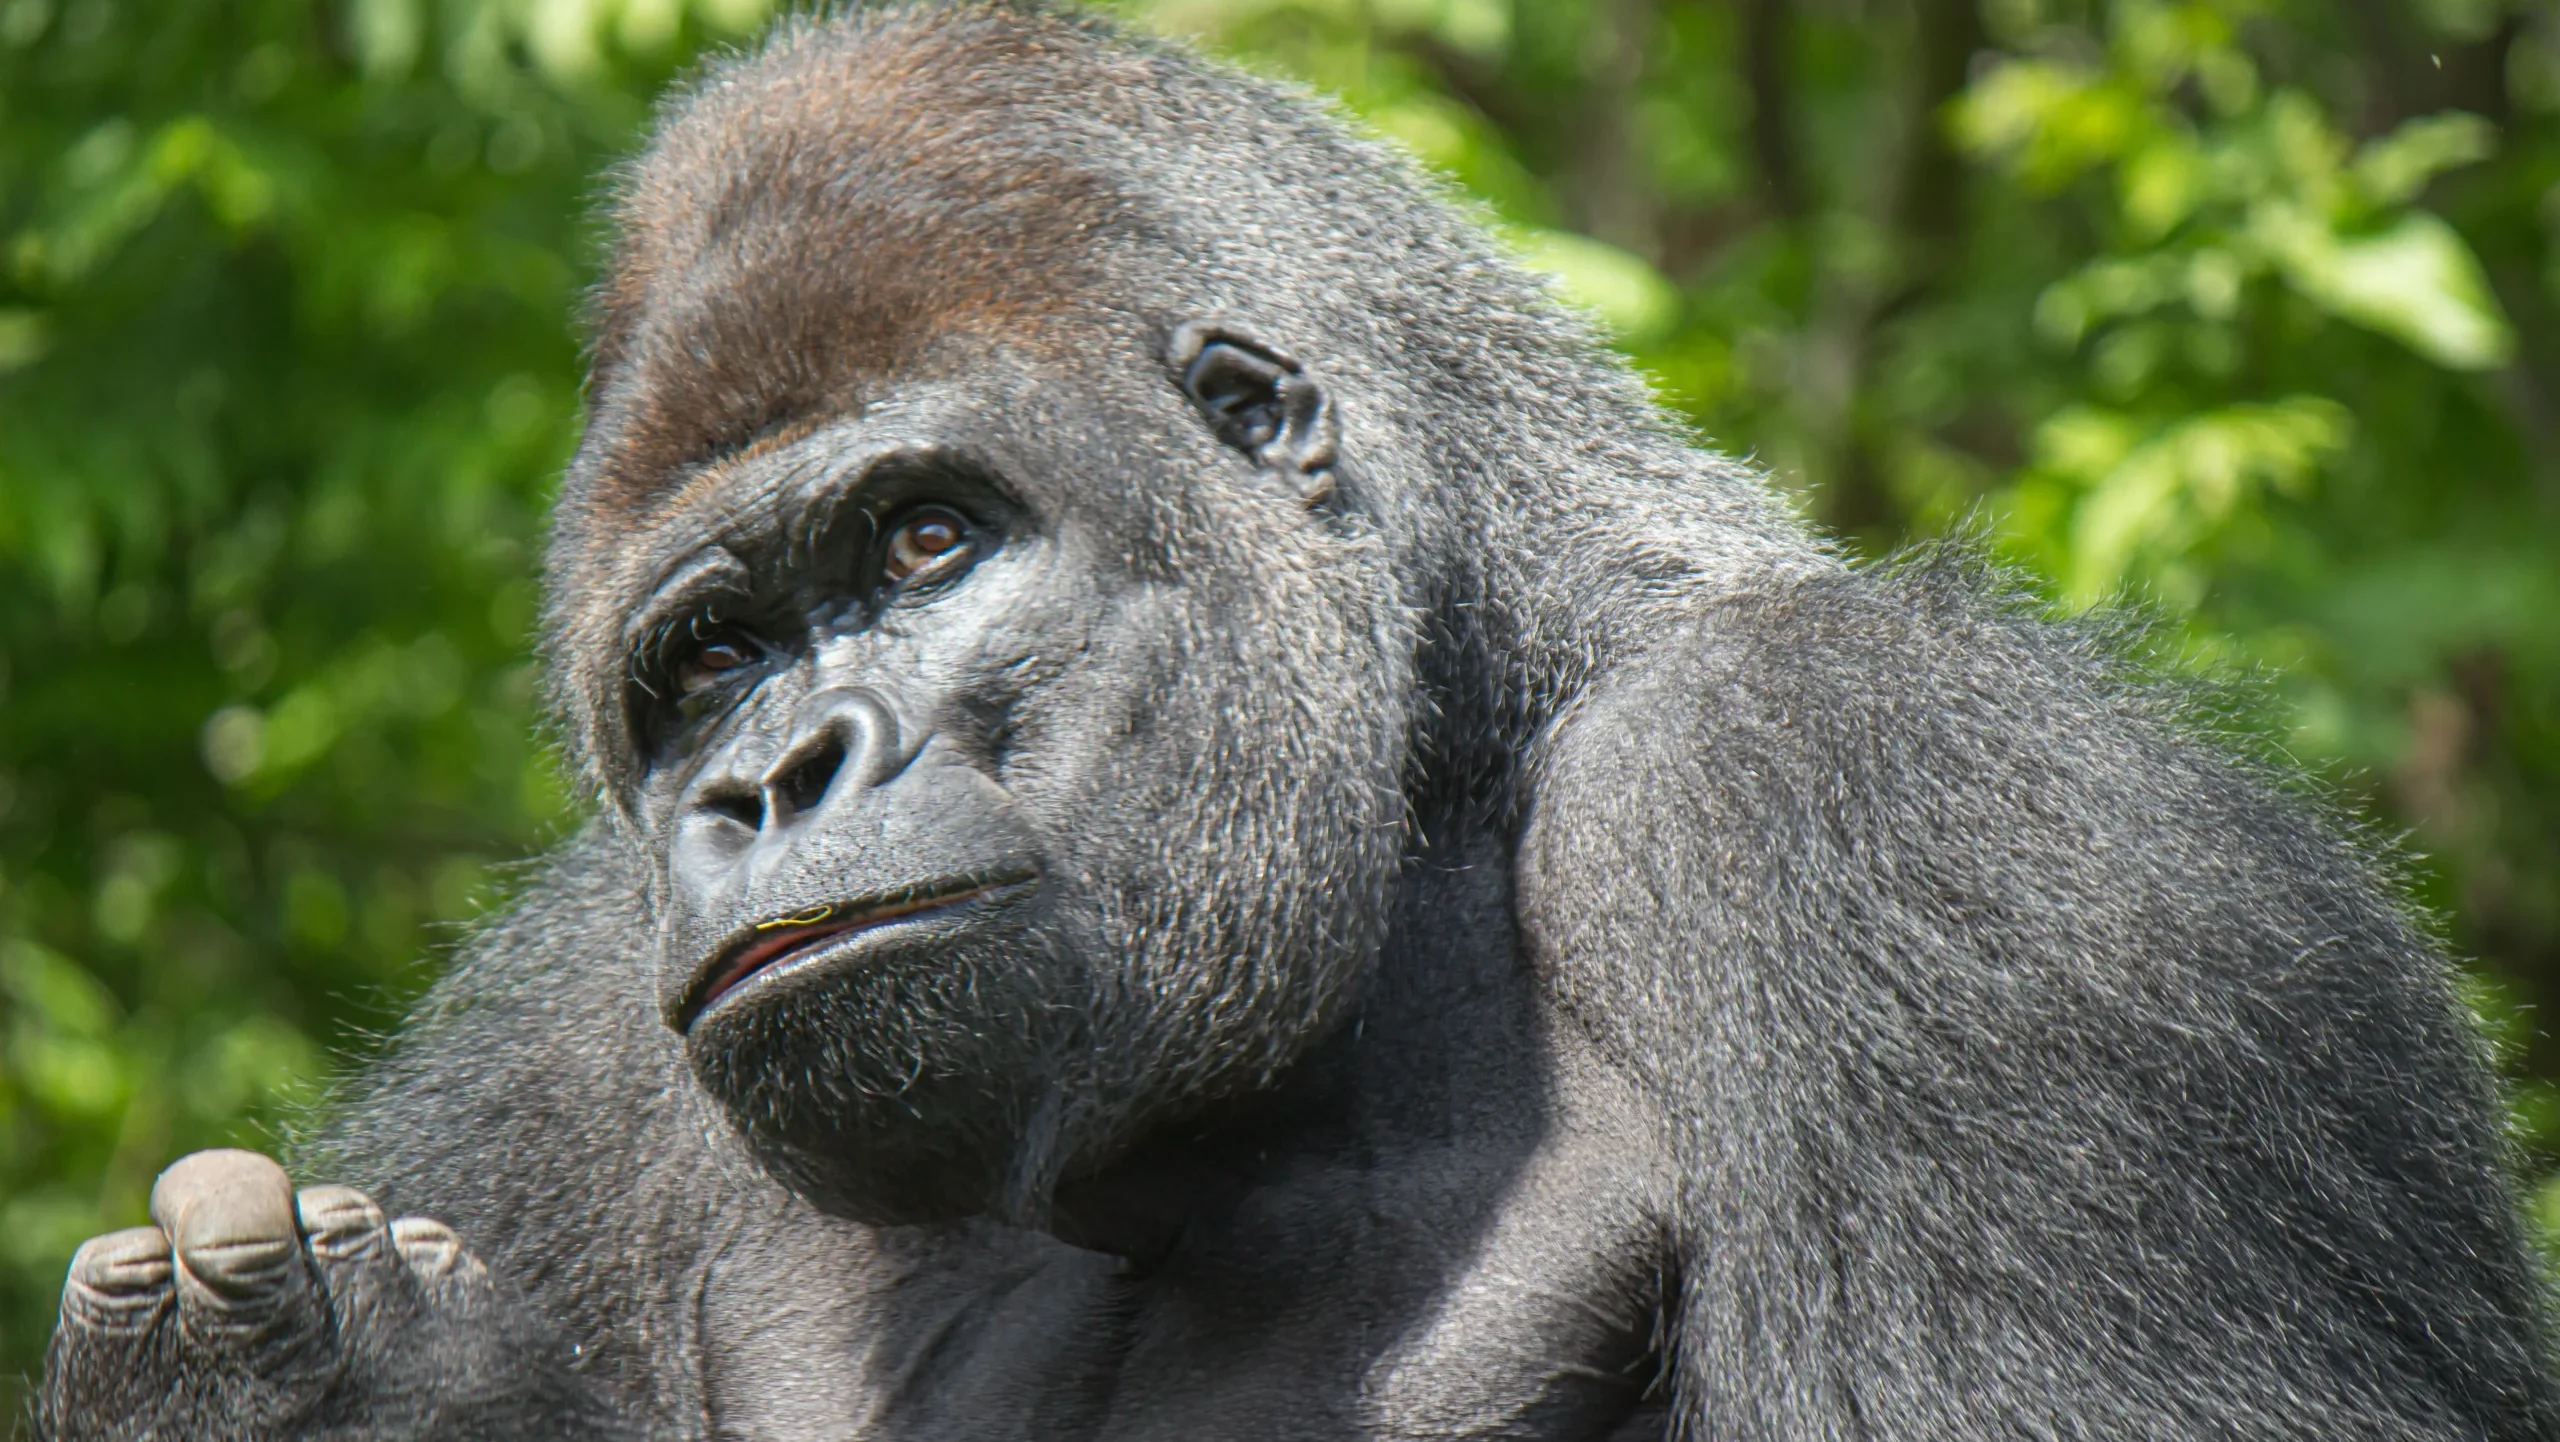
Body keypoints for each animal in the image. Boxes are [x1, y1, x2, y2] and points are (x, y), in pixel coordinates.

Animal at [34, 4, 2560, 1438]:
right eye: (707, 666)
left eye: (925, 544)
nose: (765, 781)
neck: (1456, 750)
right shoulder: (569, 1038)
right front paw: (303, 1406)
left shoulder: (1938, 842)